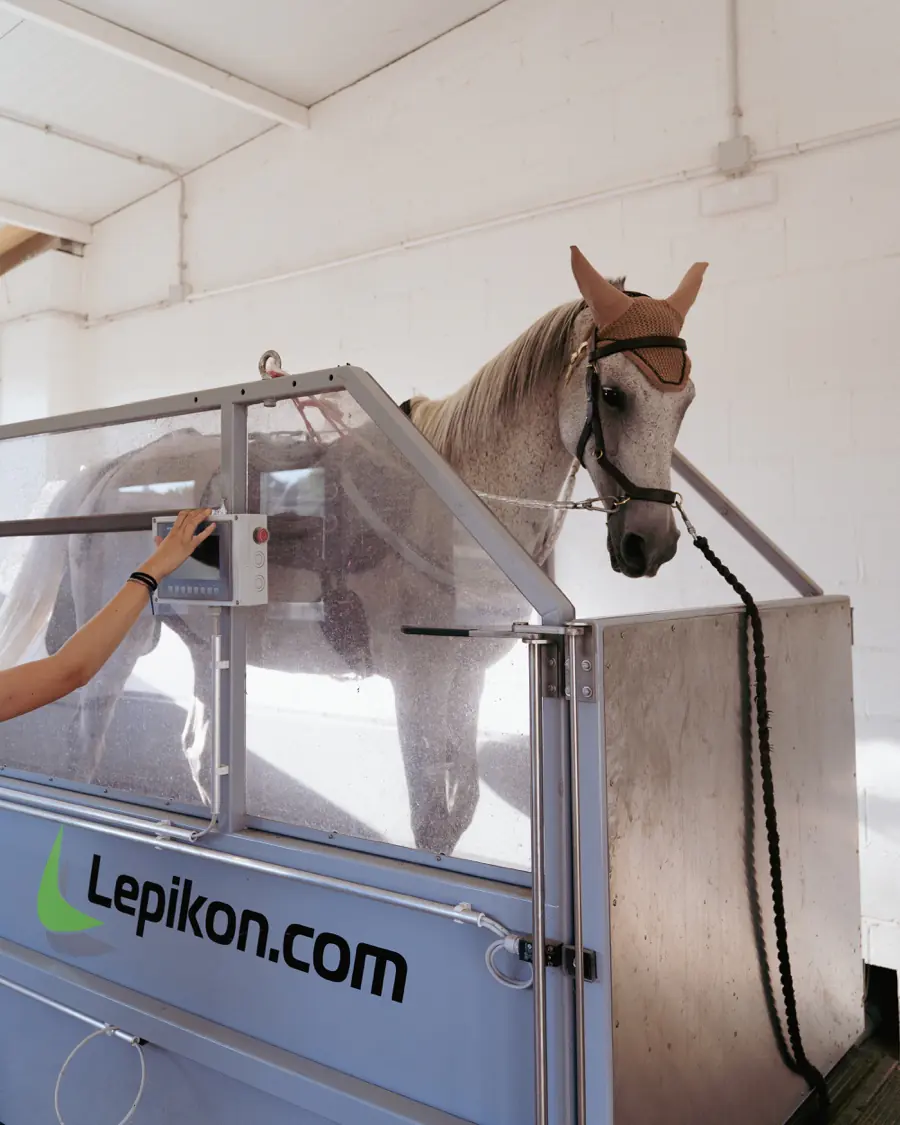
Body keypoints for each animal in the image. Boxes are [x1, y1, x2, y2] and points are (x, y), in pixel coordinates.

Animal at [0, 247, 706, 857]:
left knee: (199, 753)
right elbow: (429, 818)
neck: (453, 513)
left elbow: (459, 813)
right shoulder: (418, 682)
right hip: (118, 651)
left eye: (686, 402)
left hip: (209, 649)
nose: (650, 542)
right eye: (613, 394)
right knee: (85, 749)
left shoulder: (466, 680)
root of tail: (110, 470)